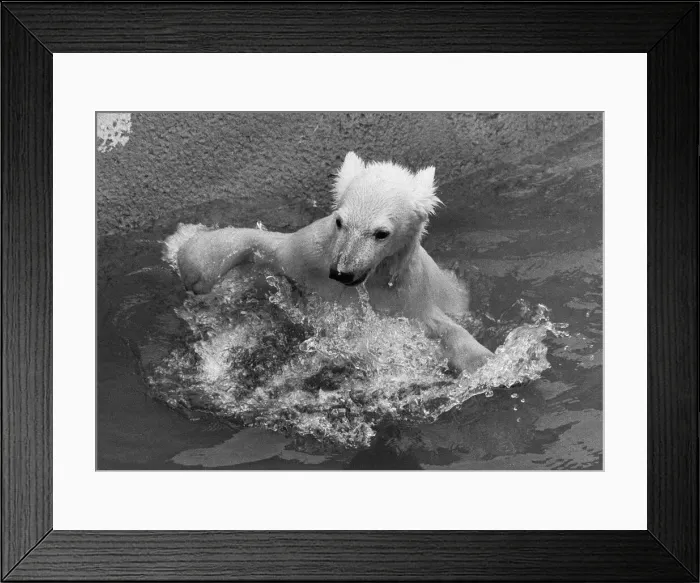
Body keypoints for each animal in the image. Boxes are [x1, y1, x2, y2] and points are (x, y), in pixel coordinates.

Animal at [174, 152, 493, 372]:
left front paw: (486, 362)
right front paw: (193, 264)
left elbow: (442, 328)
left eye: (381, 233)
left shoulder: (407, 295)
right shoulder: (310, 255)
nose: (342, 272)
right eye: (340, 222)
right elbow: (268, 245)